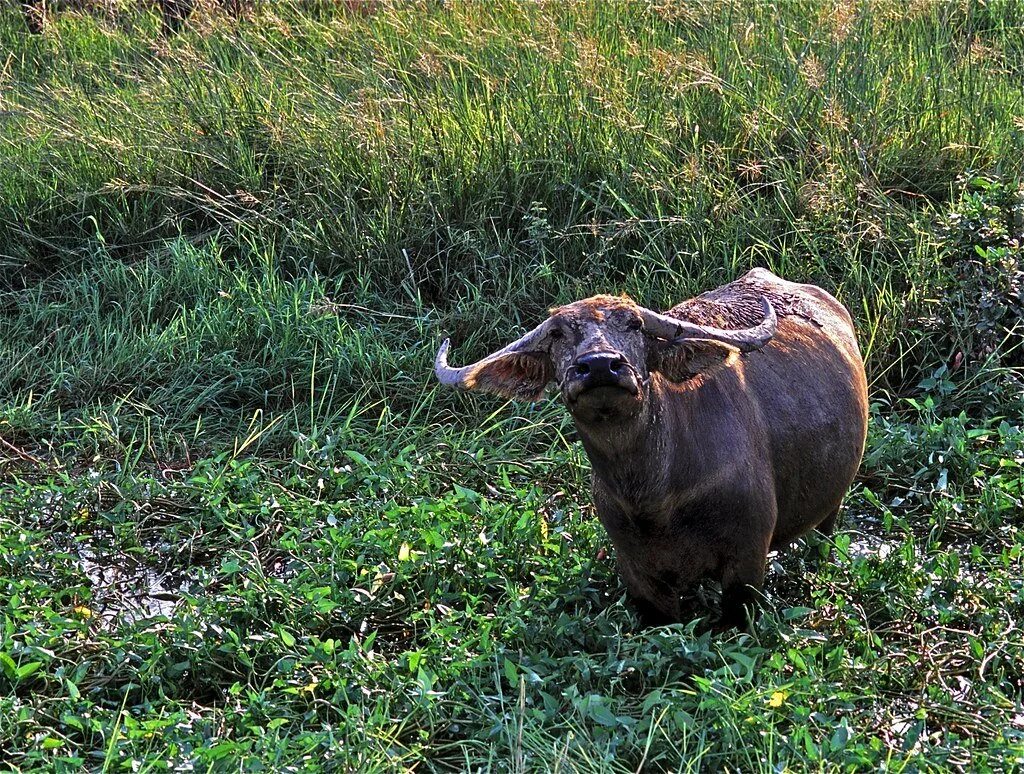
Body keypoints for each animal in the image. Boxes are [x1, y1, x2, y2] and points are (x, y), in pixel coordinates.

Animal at [436, 268, 868, 626]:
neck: (654, 496)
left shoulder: (747, 559)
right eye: (558, 333)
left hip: (831, 507)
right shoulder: (638, 575)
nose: (599, 366)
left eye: (634, 324)